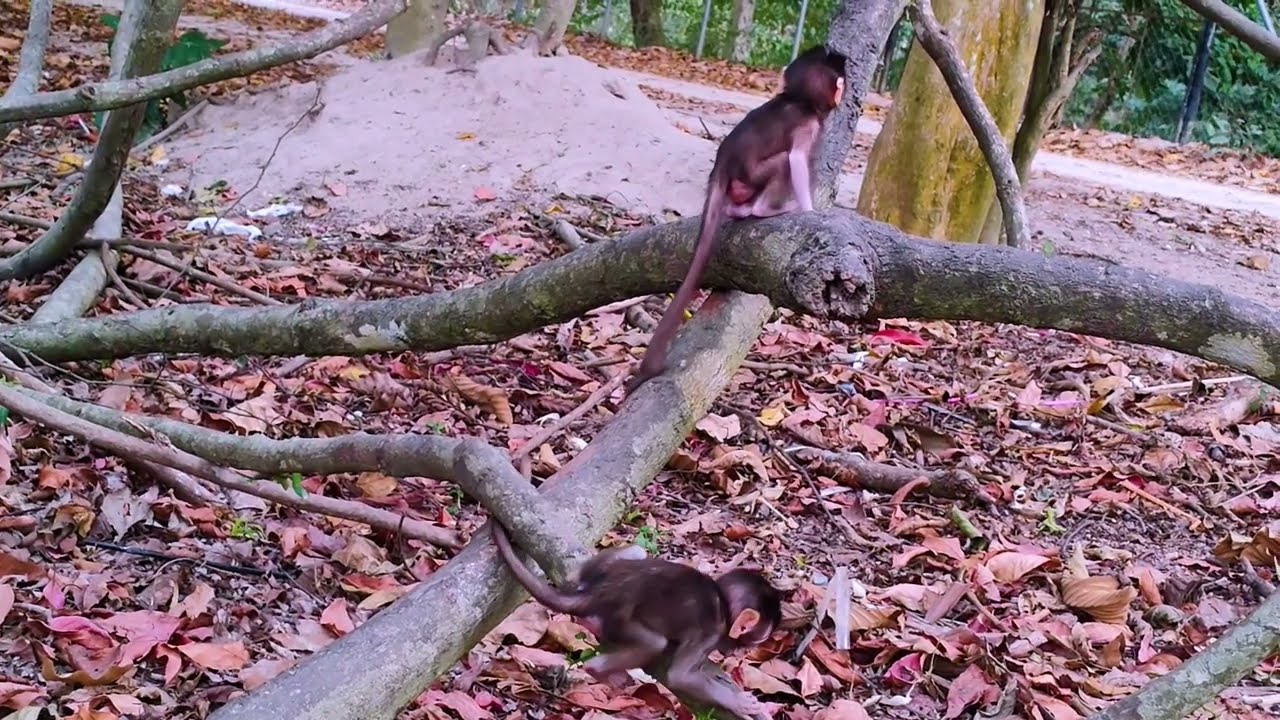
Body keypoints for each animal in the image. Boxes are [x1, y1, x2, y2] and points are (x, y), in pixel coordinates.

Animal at [490, 522, 783, 720]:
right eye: (756, 640)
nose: (742, 654)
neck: (722, 602)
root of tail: (602, 591)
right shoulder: (709, 632)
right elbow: (681, 676)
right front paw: (737, 702)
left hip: (616, 567)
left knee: (634, 553)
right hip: (622, 619)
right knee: (654, 644)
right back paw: (599, 669)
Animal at [628, 44, 848, 392]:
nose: (842, 94)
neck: (796, 98)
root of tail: (721, 167)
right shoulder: (808, 127)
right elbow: (797, 160)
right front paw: (809, 210)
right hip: (749, 179)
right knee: (783, 163)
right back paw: (760, 210)